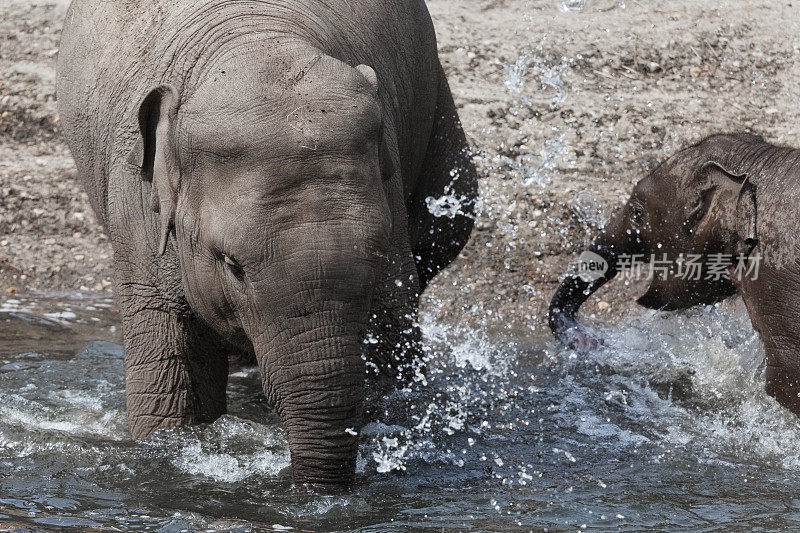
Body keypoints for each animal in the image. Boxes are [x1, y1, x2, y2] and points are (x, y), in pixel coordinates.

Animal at [59, 0, 478, 486]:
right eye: (231, 264)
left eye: (375, 253)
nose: (313, 492)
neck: (254, 39)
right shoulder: (138, 205)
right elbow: (172, 385)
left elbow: (391, 339)